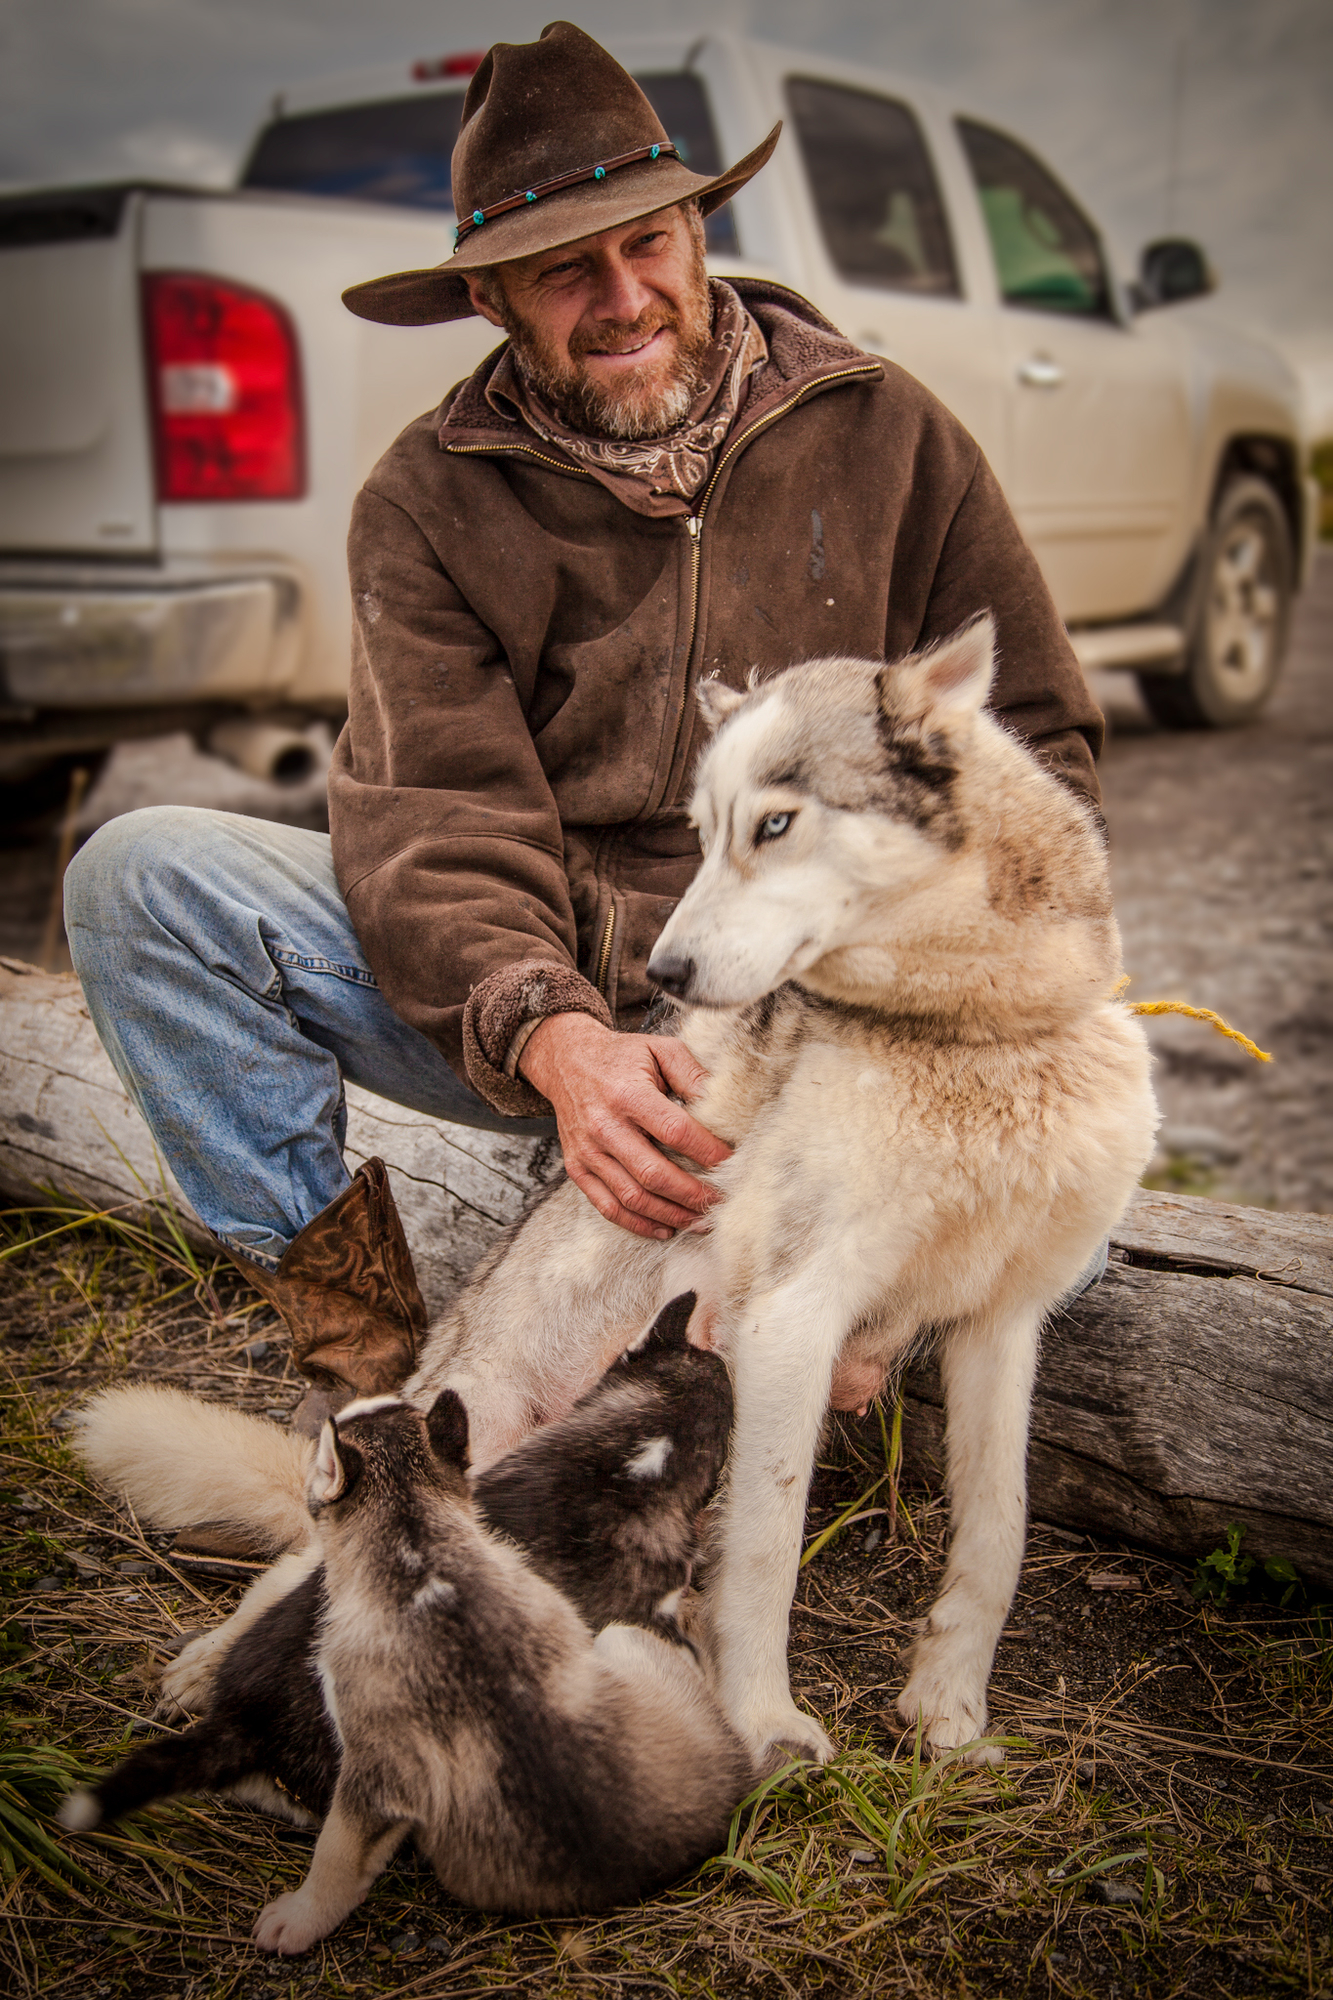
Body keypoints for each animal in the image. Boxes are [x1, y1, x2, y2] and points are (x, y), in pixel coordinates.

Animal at [78, 616, 1152, 1776]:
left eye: (774, 824)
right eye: (702, 831)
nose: (665, 973)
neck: (980, 1035)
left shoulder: (1002, 1322)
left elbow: (997, 1529)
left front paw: (946, 1706)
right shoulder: (792, 1316)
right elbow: (765, 1548)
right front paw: (762, 1723)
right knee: (303, 1565)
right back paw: (207, 1666)